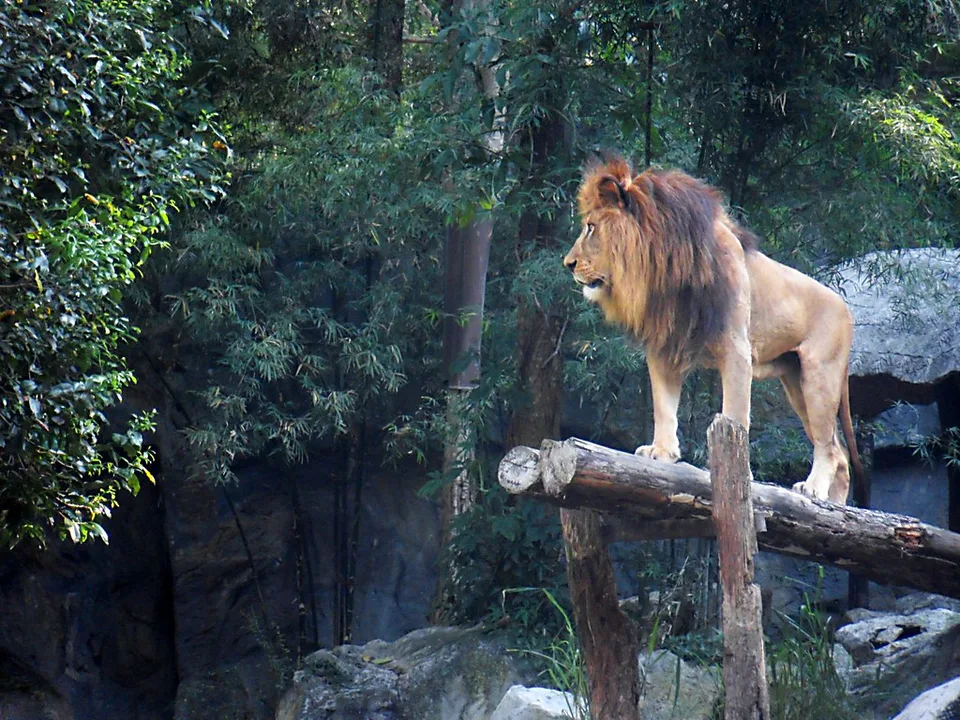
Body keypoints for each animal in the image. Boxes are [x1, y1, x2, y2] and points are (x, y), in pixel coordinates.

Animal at [563, 155, 866, 504]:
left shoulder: (736, 350)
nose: (567, 264)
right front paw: (662, 452)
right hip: (796, 381)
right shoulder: (665, 347)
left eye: (590, 227)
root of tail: (845, 307)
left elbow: (735, 416)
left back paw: (813, 488)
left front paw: (737, 474)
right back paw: (833, 505)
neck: (662, 264)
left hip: (819, 377)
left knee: (829, 447)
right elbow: (663, 406)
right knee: (840, 455)